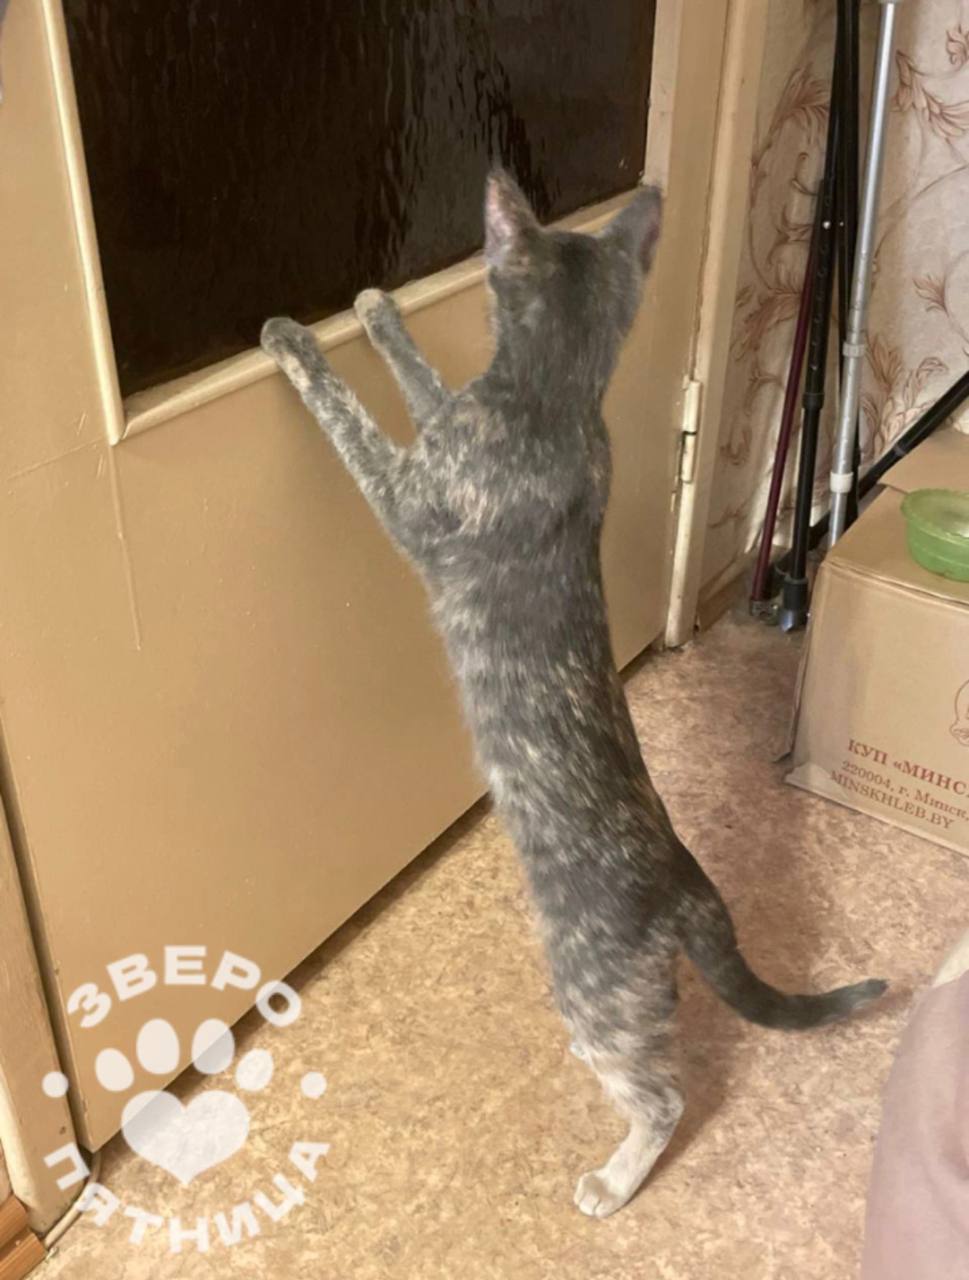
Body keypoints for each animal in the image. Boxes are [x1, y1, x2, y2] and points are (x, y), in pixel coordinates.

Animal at [261, 170, 886, 1219]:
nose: (367, 299)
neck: (552, 402)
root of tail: (685, 882)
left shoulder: (410, 494)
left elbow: (350, 420)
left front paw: (295, 342)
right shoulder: (455, 419)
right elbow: (420, 377)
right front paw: (379, 309)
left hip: (593, 991)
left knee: (662, 1092)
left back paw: (613, 1180)